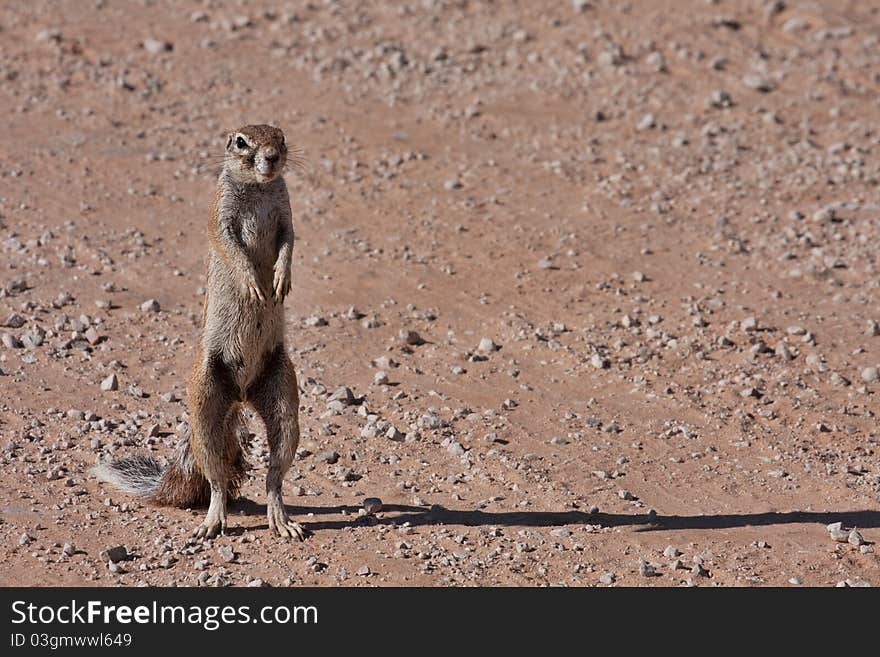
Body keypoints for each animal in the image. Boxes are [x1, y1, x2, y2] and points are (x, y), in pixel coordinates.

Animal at [94, 123, 308, 540]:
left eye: (281, 137)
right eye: (241, 142)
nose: (272, 157)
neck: (259, 189)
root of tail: (240, 395)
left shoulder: (287, 215)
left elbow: (290, 242)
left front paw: (281, 277)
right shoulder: (219, 217)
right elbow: (231, 248)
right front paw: (253, 282)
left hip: (283, 396)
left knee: (274, 474)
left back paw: (282, 519)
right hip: (205, 402)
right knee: (216, 480)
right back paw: (212, 520)